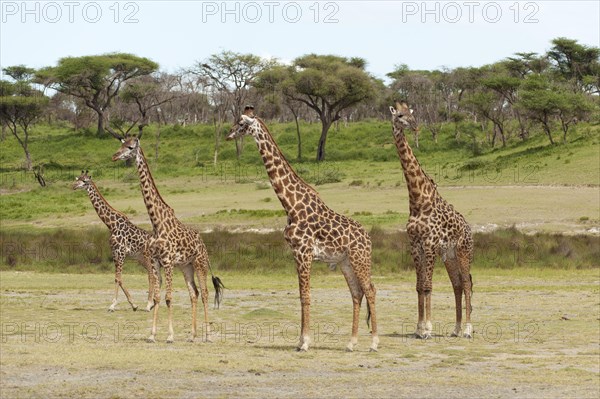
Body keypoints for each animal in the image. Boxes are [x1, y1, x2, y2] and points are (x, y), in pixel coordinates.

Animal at [72, 170, 155, 314]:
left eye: (85, 181)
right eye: (78, 179)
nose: (73, 186)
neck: (111, 224)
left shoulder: (121, 253)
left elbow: (117, 278)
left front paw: (113, 305)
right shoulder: (115, 253)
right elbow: (118, 278)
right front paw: (133, 304)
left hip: (147, 256)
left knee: (151, 275)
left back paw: (149, 304)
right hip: (140, 258)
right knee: (154, 275)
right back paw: (153, 302)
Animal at [110, 132, 223, 344]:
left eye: (131, 147)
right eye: (121, 144)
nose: (114, 156)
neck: (156, 222)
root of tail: (203, 244)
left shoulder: (168, 261)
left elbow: (169, 298)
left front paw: (170, 336)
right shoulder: (156, 261)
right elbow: (156, 298)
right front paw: (152, 335)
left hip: (200, 263)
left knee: (205, 293)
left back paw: (208, 335)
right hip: (186, 267)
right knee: (194, 294)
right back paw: (192, 335)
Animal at [230, 106, 380, 354]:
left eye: (241, 123)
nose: (229, 134)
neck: (290, 204)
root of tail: (368, 239)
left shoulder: (303, 252)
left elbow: (306, 296)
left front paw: (305, 342)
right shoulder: (296, 253)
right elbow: (301, 295)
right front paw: (300, 340)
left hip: (360, 259)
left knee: (370, 290)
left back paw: (375, 342)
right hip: (345, 262)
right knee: (357, 293)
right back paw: (351, 343)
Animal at [390, 101, 474, 340]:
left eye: (411, 114)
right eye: (400, 116)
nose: (415, 126)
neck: (417, 199)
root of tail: (470, 230)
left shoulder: (429, 244)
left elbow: (427, 285)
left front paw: (427, 329)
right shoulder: (415, 245)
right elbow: (419, 286)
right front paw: (419, 328)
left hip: (464, 251)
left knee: (467, 283)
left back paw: (468, 329)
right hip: (449, 256)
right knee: (457, 284)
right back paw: (455, 329)